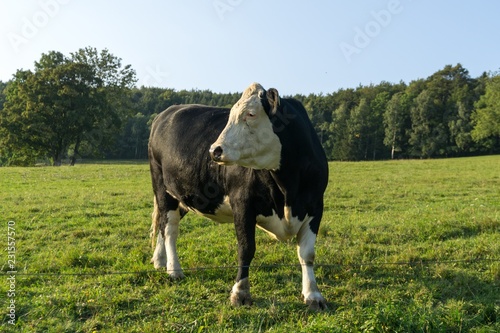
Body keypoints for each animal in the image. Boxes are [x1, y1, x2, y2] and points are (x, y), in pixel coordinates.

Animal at [147, 82, 328, 308]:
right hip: (163, 188)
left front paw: (313, 295)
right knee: (170, 228)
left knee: (163, 224)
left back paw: (159, 260)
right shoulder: (242, 203)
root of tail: (165, 113)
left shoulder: (315, 206)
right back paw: (174, 269)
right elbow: (246, 249)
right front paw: (240, 292)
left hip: (184, 196)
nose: (214, 150)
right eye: (230, 116)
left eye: (250, 114)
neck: (288, 188)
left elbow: (307, 254)